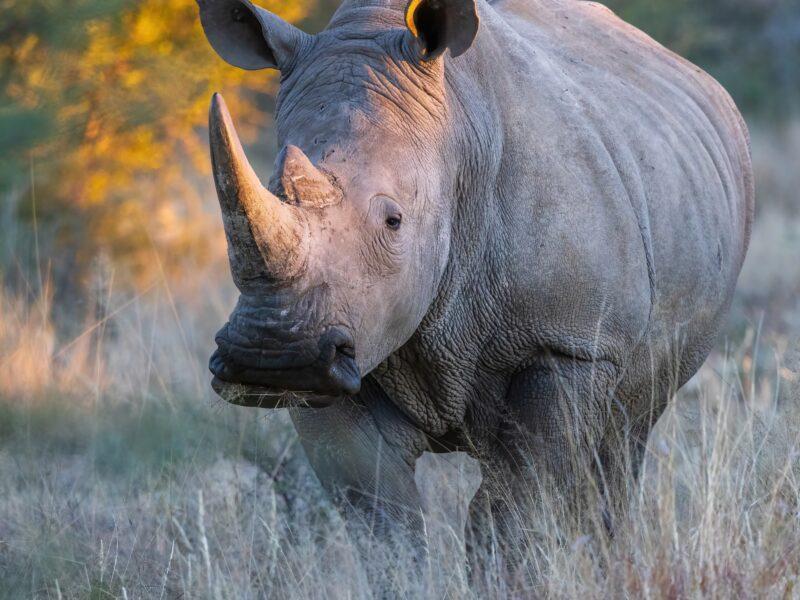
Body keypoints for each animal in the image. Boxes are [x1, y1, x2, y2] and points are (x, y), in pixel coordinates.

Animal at [198, 0, 753, 564]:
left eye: (394, 222)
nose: (270, 357)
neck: (457, 138)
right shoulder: (340, 355)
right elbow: (381, 519)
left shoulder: (570, 341)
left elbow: (516, 509)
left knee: (623, 436)